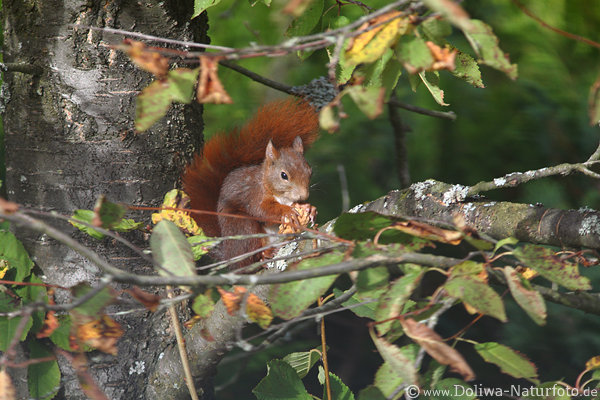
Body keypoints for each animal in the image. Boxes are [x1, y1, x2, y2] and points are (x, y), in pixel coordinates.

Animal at [183, 98, 322, 270]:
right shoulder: (254, 194)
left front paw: (309, 208)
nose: (304, 195)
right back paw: (264, 254)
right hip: (243, 227)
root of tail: (229, 256)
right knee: (249, 258)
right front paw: (287, 211)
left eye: (310, 171)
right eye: (284, 175)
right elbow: (261, 210)